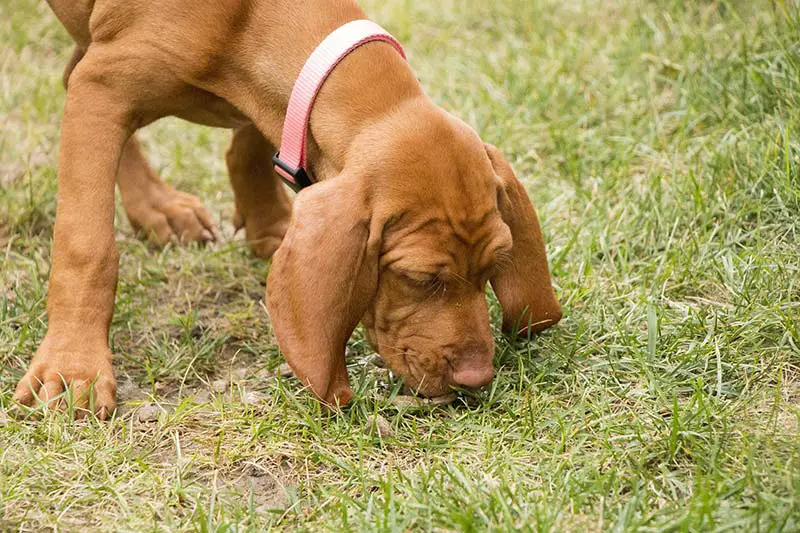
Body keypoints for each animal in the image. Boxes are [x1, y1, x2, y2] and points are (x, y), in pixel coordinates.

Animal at [14, 0, 564, 416]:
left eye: (493, 266)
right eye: (420, 278)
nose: (478, 377)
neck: (247, 21)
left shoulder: (278, 111)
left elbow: (253, 146)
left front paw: (272, 228)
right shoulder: (103, 89)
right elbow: (88, 247)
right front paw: (74, 366)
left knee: (69, 69)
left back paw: (158, 207)